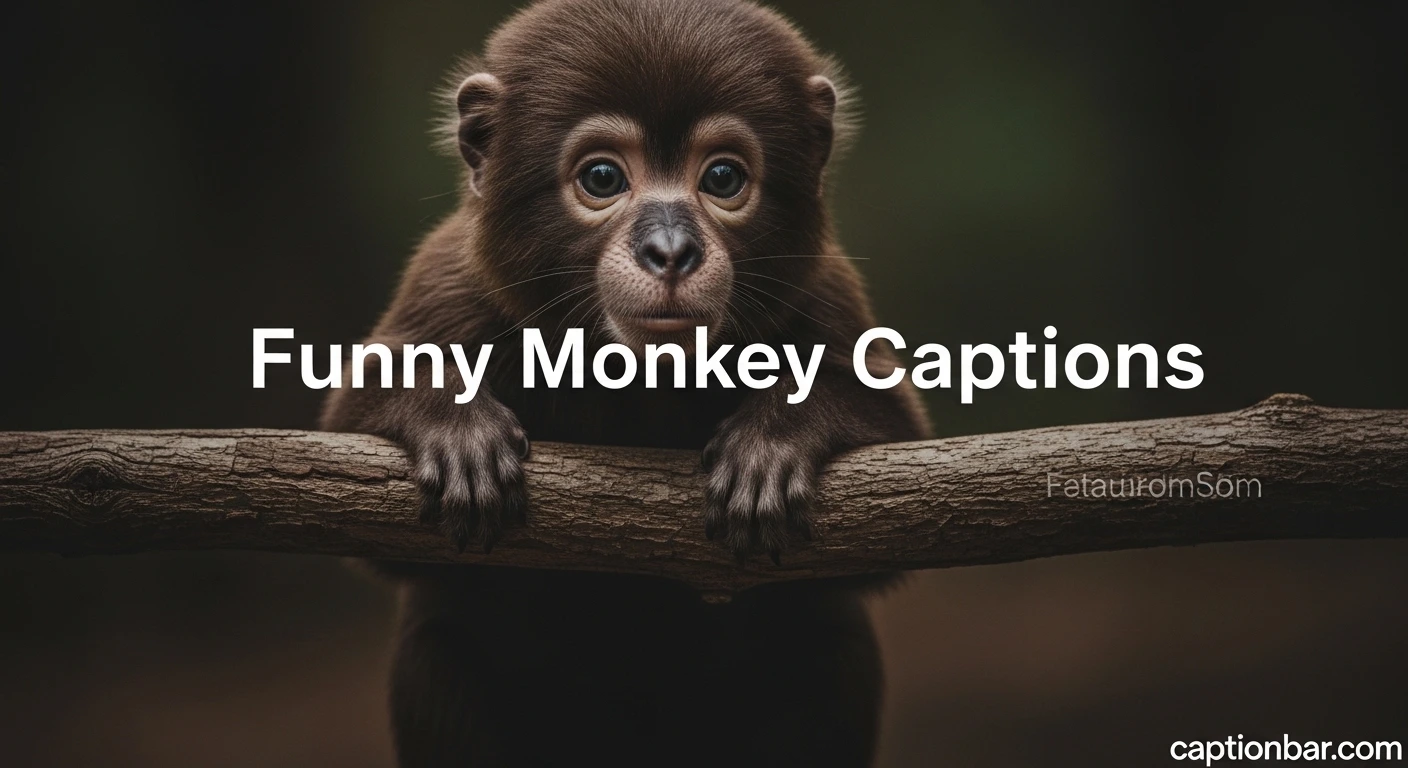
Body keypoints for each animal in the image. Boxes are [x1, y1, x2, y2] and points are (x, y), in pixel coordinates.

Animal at [320, 0, 930, 765]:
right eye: (604, 179)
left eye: (722, 179)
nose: (670, 250)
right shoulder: (452, 281)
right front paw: (454, 431)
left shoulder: (822, 291)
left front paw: (775, 444)